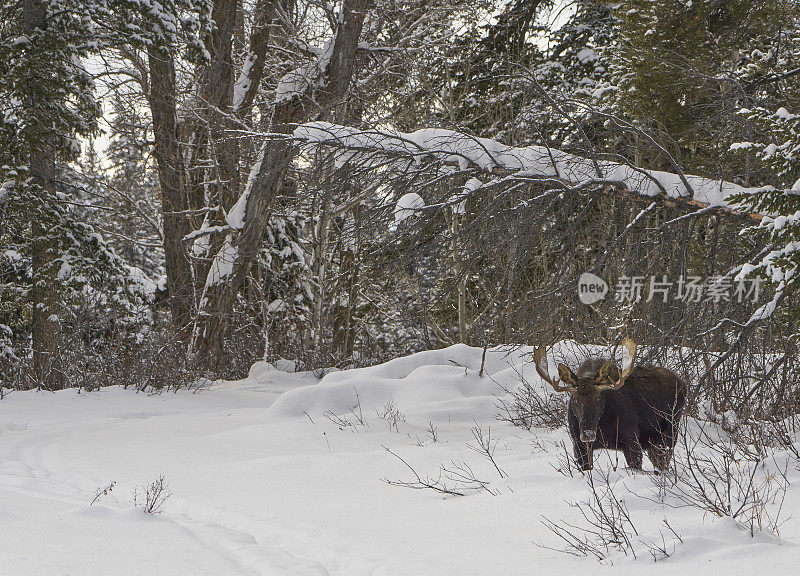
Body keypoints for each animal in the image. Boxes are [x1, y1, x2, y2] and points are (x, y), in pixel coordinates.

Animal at [532, 340, 688, 470]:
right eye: (575, 400)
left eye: (598, 399)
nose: (587, 434)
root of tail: (683, 383)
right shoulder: (579, 445)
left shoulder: (631, 440)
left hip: (670, 433)